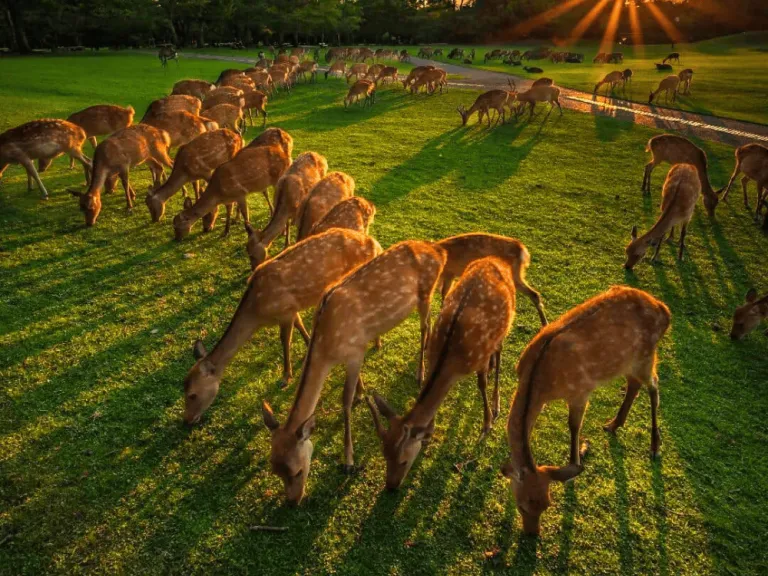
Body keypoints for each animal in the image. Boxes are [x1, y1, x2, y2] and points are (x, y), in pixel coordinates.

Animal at [183, 228, 380, 424]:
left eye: (192, 394)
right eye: (184, 390)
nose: (187, 420)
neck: (258, 311)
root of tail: (373, 243)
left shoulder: (284, 310)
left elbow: (285, 340)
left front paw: (285, 377)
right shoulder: (293, 307)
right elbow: (300, 324)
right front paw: (308, 346)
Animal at [262, 238, 448, 500]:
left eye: (297, 471)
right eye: (275, 470)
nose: (292, 502)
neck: (328, 345)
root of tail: (439, 250)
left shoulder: (355, 351)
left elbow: (345, 400)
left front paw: (348, 461)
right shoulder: (356, 350)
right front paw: (362, 392)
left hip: (426, 294)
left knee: (426, 327)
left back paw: (420, 374)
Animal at [366, 258, 516, 488]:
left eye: (403, 461)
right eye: (384, 455)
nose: (391, 487)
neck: (452, 361)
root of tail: (497, 260)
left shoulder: (479, 357)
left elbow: (481, 385)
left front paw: (487, 424)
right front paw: (429, 430)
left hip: (507, 320)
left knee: (500, 352)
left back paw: (496, 401)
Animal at [500, 286, 668, 536]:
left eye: (547, 505)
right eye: (522, 506)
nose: (532, 534)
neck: (541, 380)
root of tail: (664, 311)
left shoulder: (580, 391)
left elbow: (573, 426)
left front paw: (578, 457)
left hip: (646, 356)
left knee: (654, 386)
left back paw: (655, 446)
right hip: (626, 361)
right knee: (634, 384)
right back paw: (613, 424)